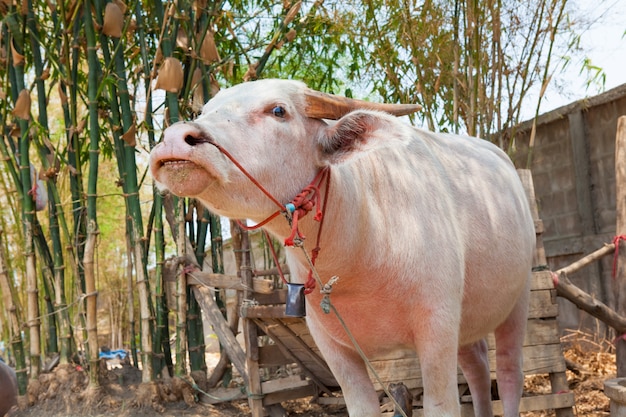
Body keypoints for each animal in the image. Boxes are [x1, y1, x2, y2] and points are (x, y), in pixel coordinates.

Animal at [150, 79, 532, 416]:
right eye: (206, 110)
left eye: (278, 110)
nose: (176, 140)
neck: (361, 249)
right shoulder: (332, 346)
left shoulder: (437, 326)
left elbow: (443, 407)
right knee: (478, 365)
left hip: (518, 299)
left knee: (509, 372)